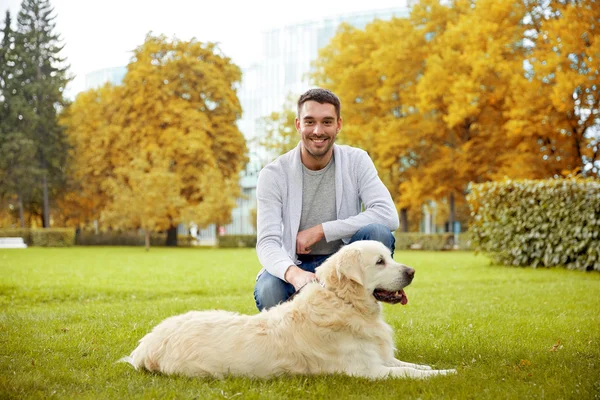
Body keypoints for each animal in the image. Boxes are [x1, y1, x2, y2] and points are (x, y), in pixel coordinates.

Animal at [119, 239, 458, 380]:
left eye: (390, 256)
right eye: (379, 262)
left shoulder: (378, 357)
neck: (344, 302)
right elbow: (405, 372)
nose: (412, 272)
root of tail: (146, 344)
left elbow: (407, 364)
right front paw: (448, 373)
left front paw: (431, 366)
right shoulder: (366, 371)